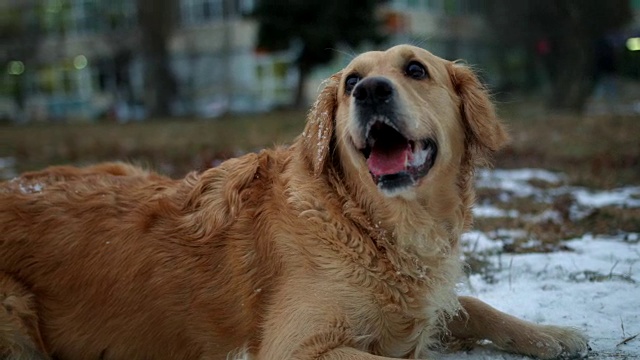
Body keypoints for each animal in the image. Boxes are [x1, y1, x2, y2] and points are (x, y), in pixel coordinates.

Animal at [1, 45, 592, 360]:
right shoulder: (293, 347)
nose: (369, 91)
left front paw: (553, 335)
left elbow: (472, 304)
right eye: (351, 80)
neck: (375, 225)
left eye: (415, 69)